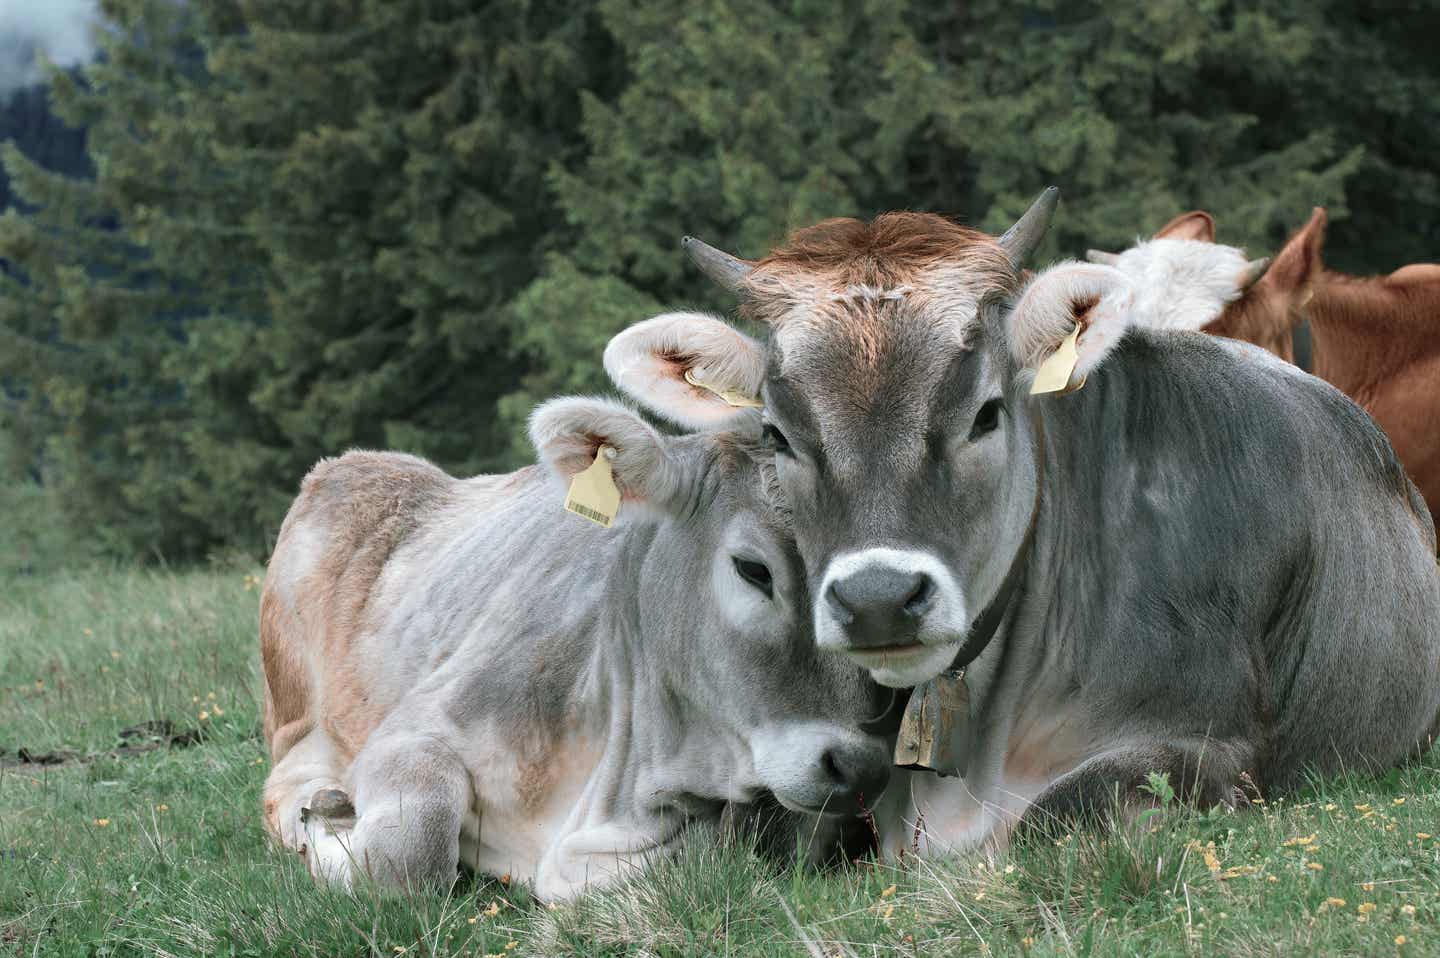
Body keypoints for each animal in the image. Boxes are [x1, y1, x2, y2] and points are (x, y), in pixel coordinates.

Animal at [259, 391, 887, 893]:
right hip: (296, 710)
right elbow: (410, 849)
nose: (861, 767)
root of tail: (344, 464)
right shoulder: (415, 727)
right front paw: (330, 834)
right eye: (754, 569)